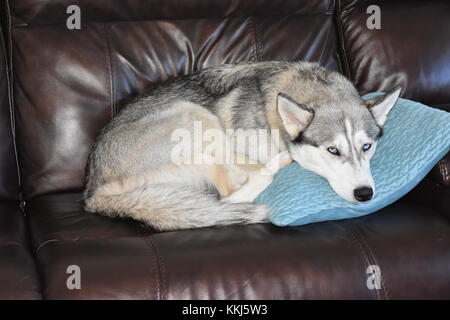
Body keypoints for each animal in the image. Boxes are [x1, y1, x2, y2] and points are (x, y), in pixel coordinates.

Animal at [84, 60, 400, 230]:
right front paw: (280, 159)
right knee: (230, 194)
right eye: (333, 150)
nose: (365, 194)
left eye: (367, 147)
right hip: (195, 115)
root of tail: (92, 191)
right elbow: (255, 171)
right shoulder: (236, 146)